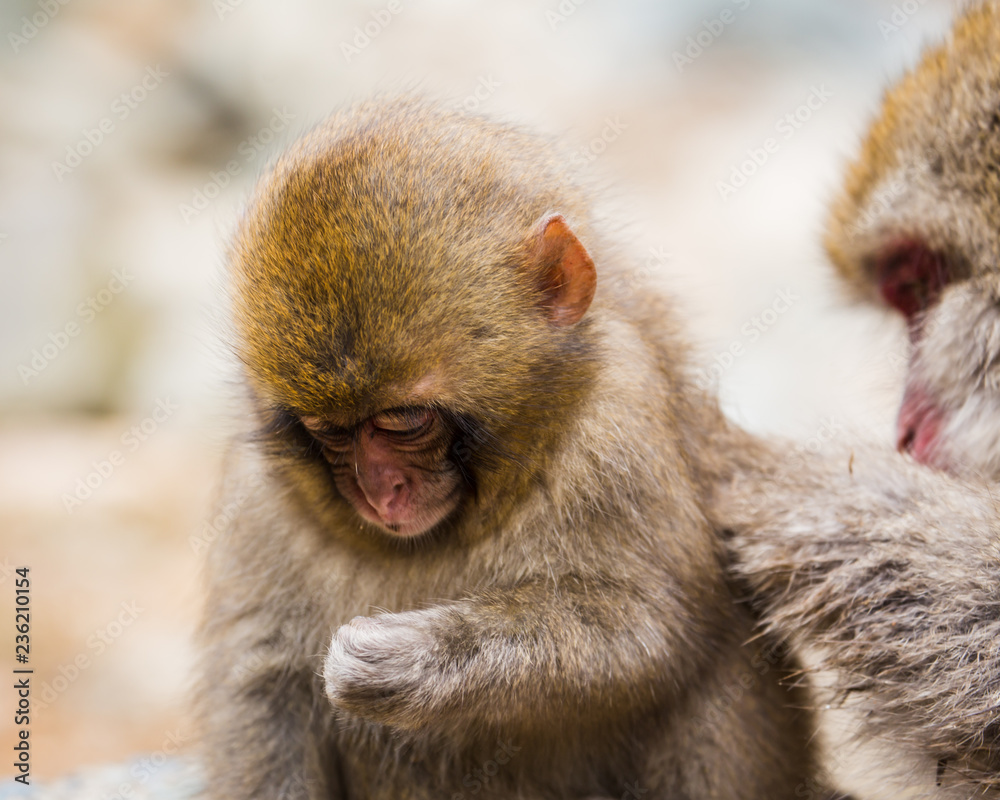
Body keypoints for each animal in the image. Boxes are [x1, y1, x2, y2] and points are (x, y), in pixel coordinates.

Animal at [193, 96, 846, 799]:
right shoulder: (256, 492)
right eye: (329, 433)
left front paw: (415, 659)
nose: (380, 492)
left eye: (403, 419)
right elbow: (263, 680)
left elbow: (646, 627)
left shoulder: (622, 418)